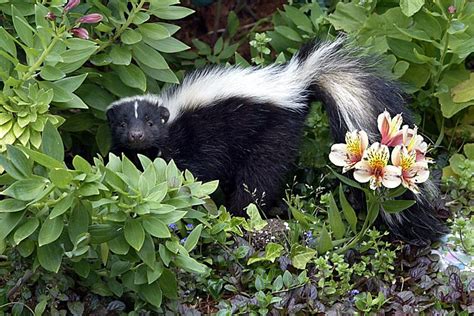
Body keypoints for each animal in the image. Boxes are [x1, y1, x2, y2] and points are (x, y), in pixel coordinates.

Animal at [106, 37, 448, 244]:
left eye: (149, 122)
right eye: (123, 124)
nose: (136, 135)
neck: (172, 119)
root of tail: (297, 82)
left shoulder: (196, 138)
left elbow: (194, 170)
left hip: (272, 132)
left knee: (260, 176)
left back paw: (243, 213)